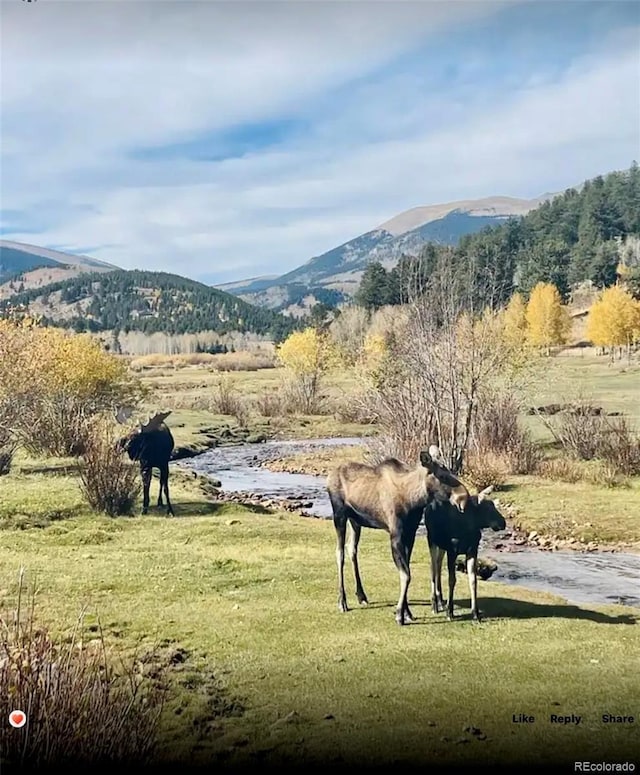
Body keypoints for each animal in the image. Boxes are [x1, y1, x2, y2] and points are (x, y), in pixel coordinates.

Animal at [324, 452, 470, 628]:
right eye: (442, 475)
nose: (464, 497)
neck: (414, 501)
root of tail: (329, 476)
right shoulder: (395, 534)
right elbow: (406, 575)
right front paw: (400, 614)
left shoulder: (410, 534)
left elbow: (406, 571)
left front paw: (407, 612)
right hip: (339, 515)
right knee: (339, 553)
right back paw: (342, 601)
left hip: (355, 521)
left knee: (351, 549)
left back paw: (361, 595)